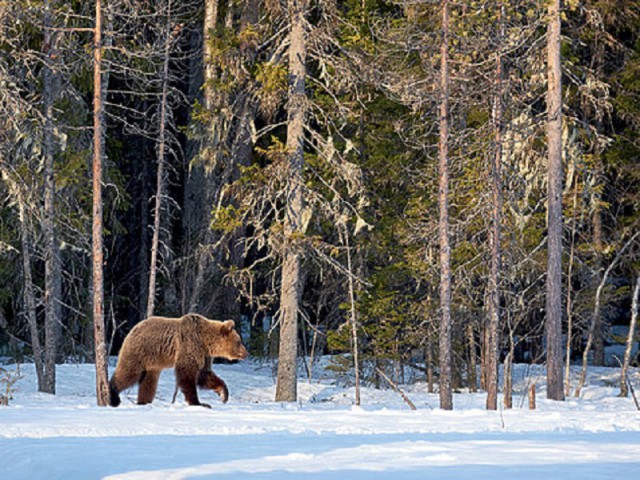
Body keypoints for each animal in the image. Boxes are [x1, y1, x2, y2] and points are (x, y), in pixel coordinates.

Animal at [107, 316, 248, 408]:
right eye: (239, 341)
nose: (246, 353)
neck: (206, 342)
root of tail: (132, 329)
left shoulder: (204, 355)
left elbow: (204, 375)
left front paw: (223, 394)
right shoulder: (190, 346)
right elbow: (187, 375)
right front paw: (199, 403)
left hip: (152, 363)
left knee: (148, 382)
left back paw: (143, 402)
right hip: (139, 351)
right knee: (128, 373)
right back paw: (113, 396)